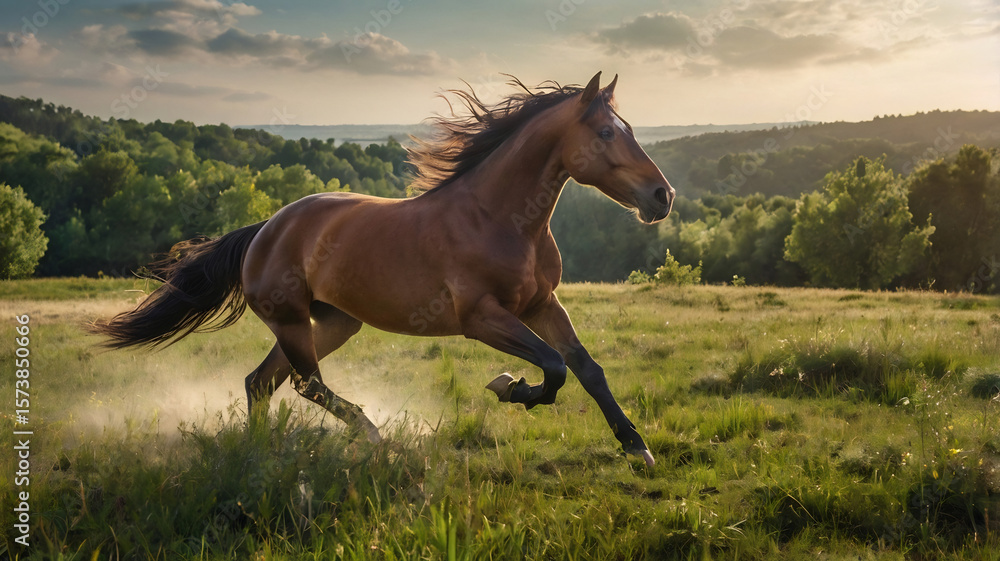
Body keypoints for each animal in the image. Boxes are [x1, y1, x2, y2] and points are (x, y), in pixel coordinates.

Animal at [91, 72, 674, 466]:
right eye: (606, 133)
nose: (662, 197)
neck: (498, 218)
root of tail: (265, 228)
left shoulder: (541, 305)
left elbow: (586, 368)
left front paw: (636, 447)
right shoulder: (481, 318)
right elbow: (553, 368)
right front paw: (509, 387)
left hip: (331, 322)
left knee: (262, 383)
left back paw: (261, 453)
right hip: (292, 322)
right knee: (305, 385)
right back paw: (374, 436)